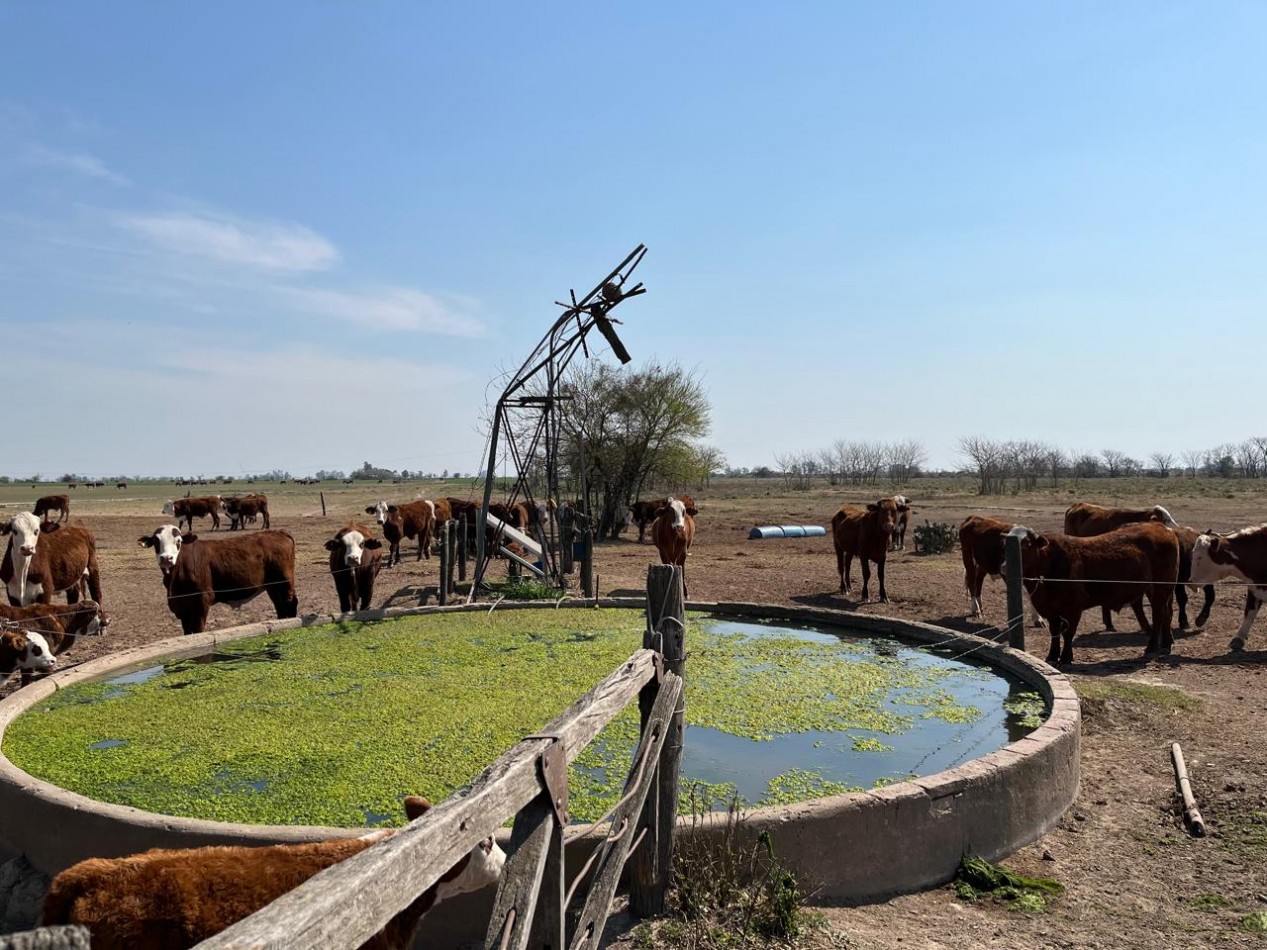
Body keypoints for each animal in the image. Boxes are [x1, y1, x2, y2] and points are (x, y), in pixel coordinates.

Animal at [139, 524, 299, 635]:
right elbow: (188, 632)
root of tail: (279, 532)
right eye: (156, 541)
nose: (166, 558)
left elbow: (198, 631)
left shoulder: (202, 601)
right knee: (281, 607)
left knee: (290, 604)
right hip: (273, 586)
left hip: (285, 583)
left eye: (178, 541)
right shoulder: (182, 608)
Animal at [1008, 521, 1175, 668]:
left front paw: (1066, 658)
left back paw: (1152, 647)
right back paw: (1166, 644)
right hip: (1157, 591)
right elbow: (1055, 632)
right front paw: (1052, 657)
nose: (1004, 565)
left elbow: (1068, 633)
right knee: (1167, 614)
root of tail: (1162, 528)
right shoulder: (1051, 610)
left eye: (1027, 544)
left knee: (1158, 615)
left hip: (1161, 589)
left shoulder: (1073, 608)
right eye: (1006, 543)